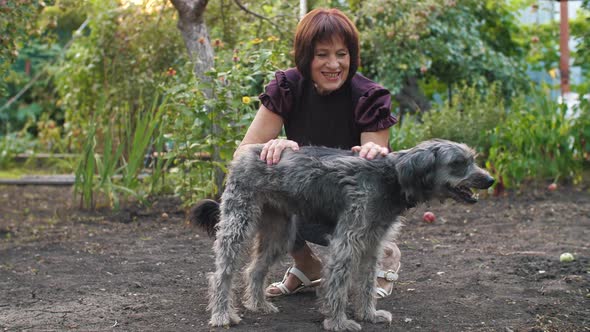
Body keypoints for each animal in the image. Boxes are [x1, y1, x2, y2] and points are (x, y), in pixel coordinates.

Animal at [193, 139, 494, 330]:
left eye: (472, 160)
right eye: (458, 162)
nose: (490, 180)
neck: (391, 177)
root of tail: (246, 152)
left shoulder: (372, 244)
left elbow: (367, 283)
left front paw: (369, 314)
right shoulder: (346, 243)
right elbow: (338, 285)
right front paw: (339, 322)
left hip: (280, 235)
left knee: (254, 270)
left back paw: (258, 305)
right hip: (237, 226)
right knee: (221, 274)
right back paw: (222, 315)